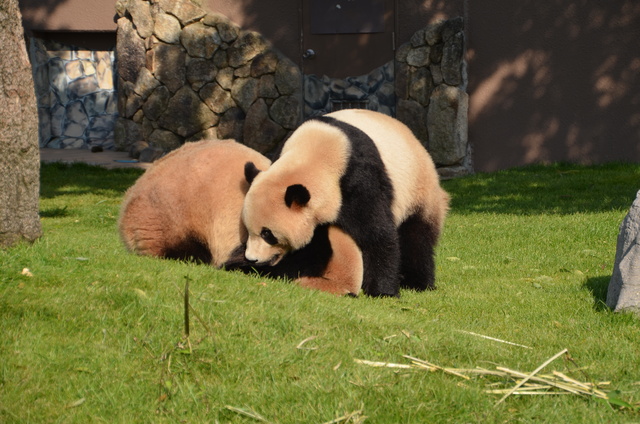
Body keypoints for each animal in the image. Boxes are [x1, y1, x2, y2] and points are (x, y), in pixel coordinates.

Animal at [241, 108, 450, 298]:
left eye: (268, 234)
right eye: (248, 229)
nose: (252, 259)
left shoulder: (358, 180)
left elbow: (377, 234)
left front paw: (384, 291)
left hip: (418, 190)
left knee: (416, 237)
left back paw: (417, 283)